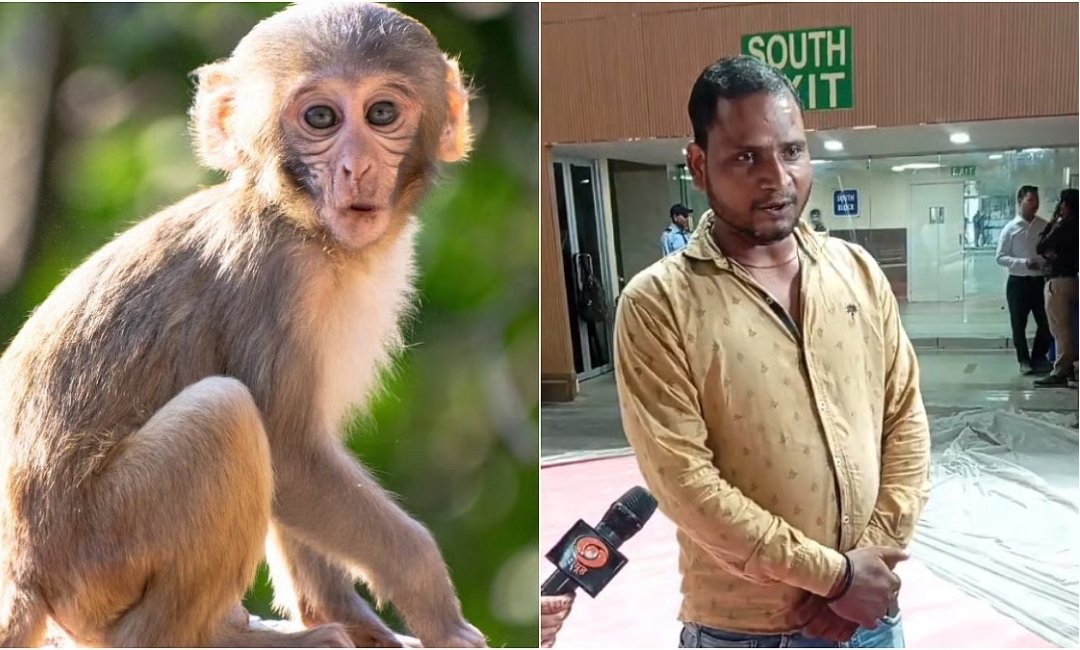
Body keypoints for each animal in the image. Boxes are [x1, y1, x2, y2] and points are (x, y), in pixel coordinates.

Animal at [0, 3, 487, 648]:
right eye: (321, 118)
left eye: (382, 113)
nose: (356, 166)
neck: (304, 225)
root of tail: (25, 573)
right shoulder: (276, 280)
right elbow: (290, 450)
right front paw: (436, 608)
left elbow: (301, 461)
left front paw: (349, 618)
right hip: (99, 552)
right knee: (224, 414)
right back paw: (214, 636)